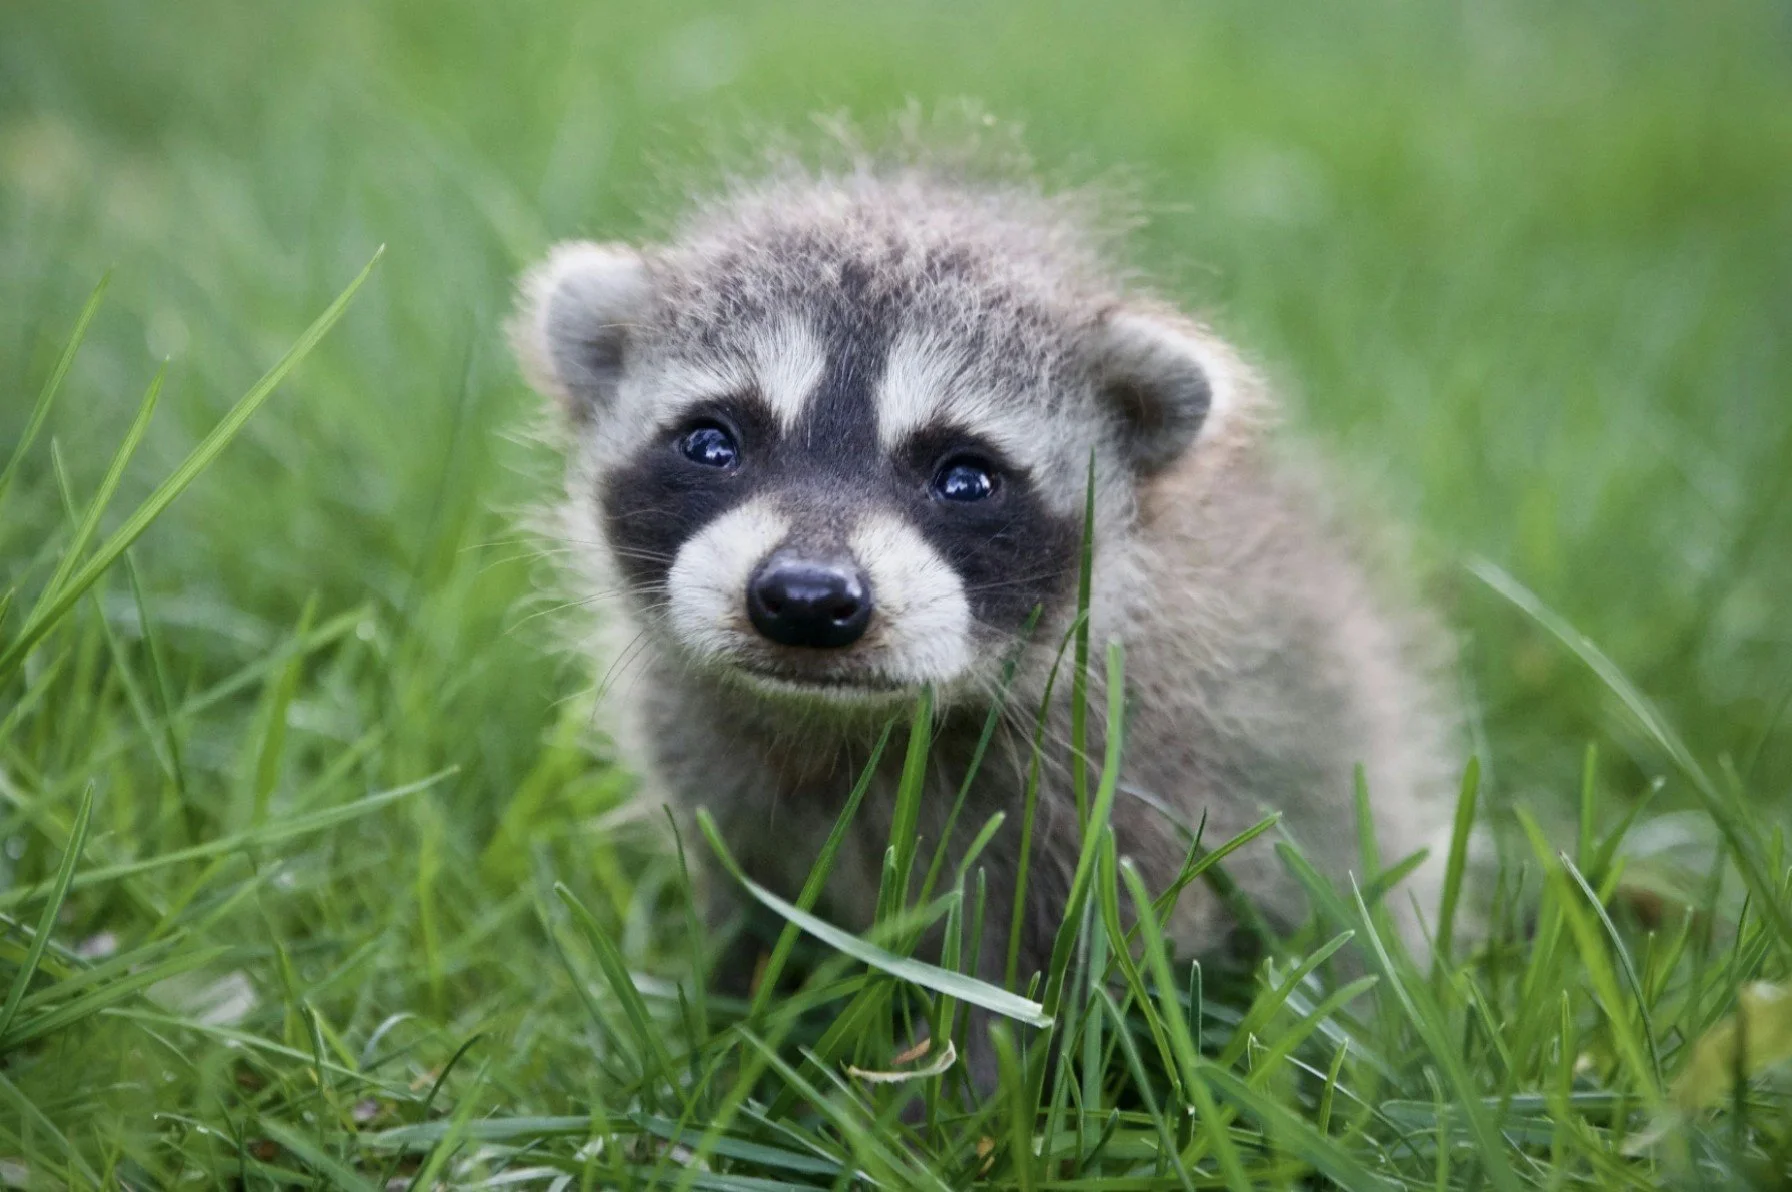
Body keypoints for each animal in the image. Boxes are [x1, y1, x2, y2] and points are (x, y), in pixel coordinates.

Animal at [512, 164, 1457, 1060]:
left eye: (965, 477)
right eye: (712, 443)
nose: (808, 599)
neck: (844, 723)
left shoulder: (1126, 784)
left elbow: (1028, 983)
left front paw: (965, 1093)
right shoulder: (717, 768)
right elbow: (748, 906)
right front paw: (731, 1021)